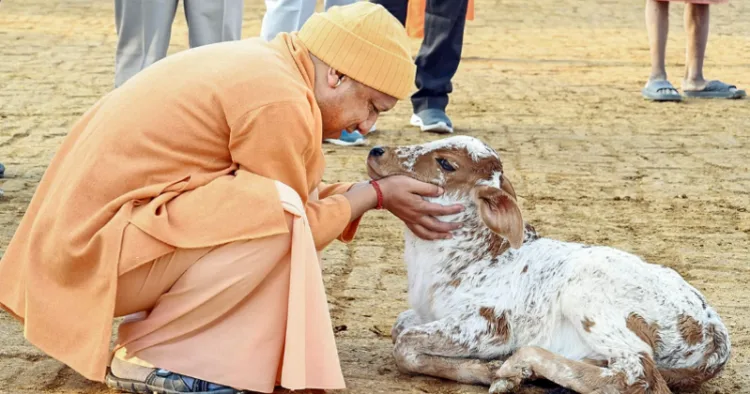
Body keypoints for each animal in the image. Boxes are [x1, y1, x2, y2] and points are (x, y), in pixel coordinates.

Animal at [368, 136, 732, 394]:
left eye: (446, 163)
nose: (376, 151)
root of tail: (716, 335)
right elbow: (400, 326)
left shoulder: (490, 323)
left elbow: (404, 343)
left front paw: (491, 369)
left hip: (587, 296)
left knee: (638, 374)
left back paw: (517, 366)